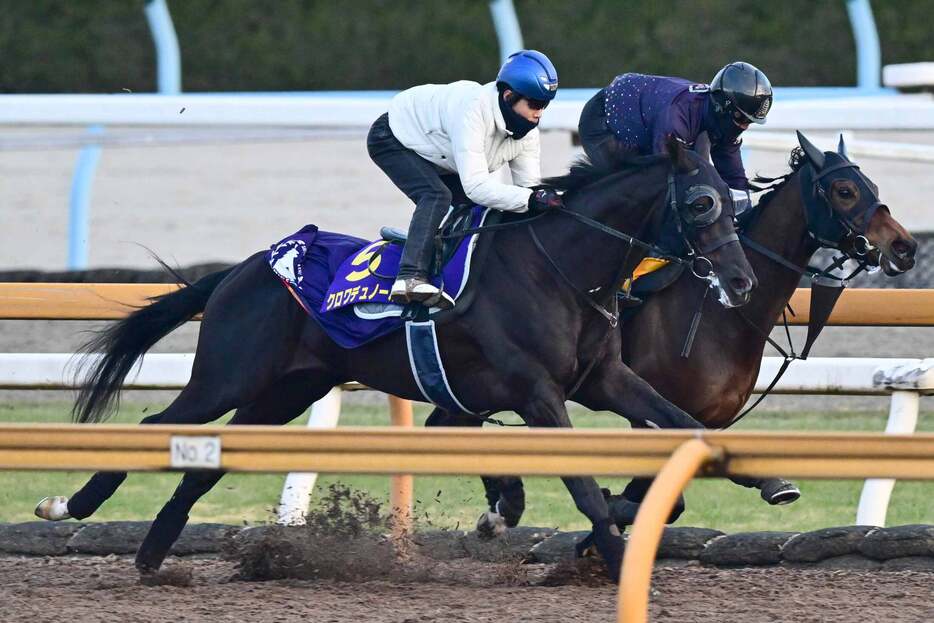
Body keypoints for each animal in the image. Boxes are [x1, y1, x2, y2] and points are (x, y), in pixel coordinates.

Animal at [36, 139, 756, 584]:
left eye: (733, 197)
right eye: (701, 202)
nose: (742, 281)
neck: (558, 267)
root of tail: (243, 268)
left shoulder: (604, 379)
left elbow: (680, 420)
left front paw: (760, 477)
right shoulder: (536, 391)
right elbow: (581, 485)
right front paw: (611, 553)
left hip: (287, 390)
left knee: (204, 461)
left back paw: (155, 552)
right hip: (229, 375)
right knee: (158, 424)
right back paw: (70, 505)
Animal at [436, 132, 916, 536]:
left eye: (872, 185)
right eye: (845, 191)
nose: (905, 247)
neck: (723, 315)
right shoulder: (641, 412)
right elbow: (661, 498)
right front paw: (608, 513)